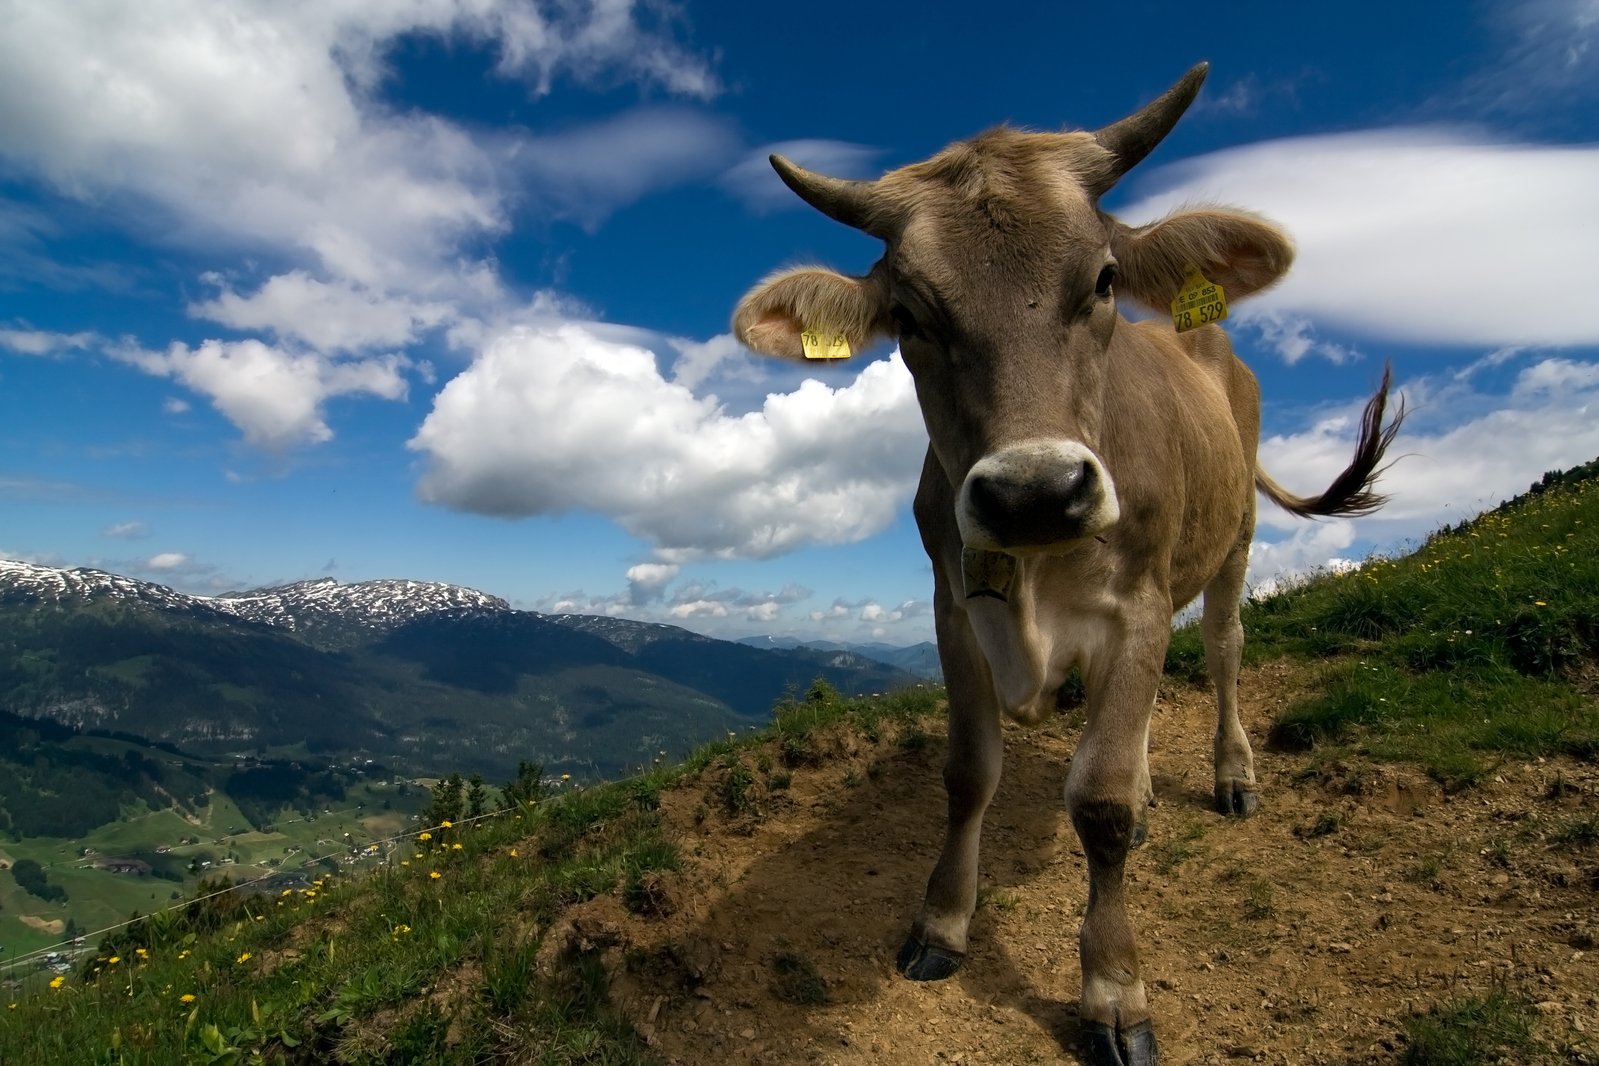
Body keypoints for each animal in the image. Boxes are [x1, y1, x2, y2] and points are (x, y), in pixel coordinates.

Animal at [732, 66, 1400, 1066]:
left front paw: (1113, 989)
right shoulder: (953, 606)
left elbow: (1100, 802)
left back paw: (1231, 775)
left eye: (1104, 280)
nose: (1035, 492)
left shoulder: (1139, 604)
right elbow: (970, 771)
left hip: (1233, 543)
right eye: (911, 315)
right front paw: (941, 923)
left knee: (1224, 652)